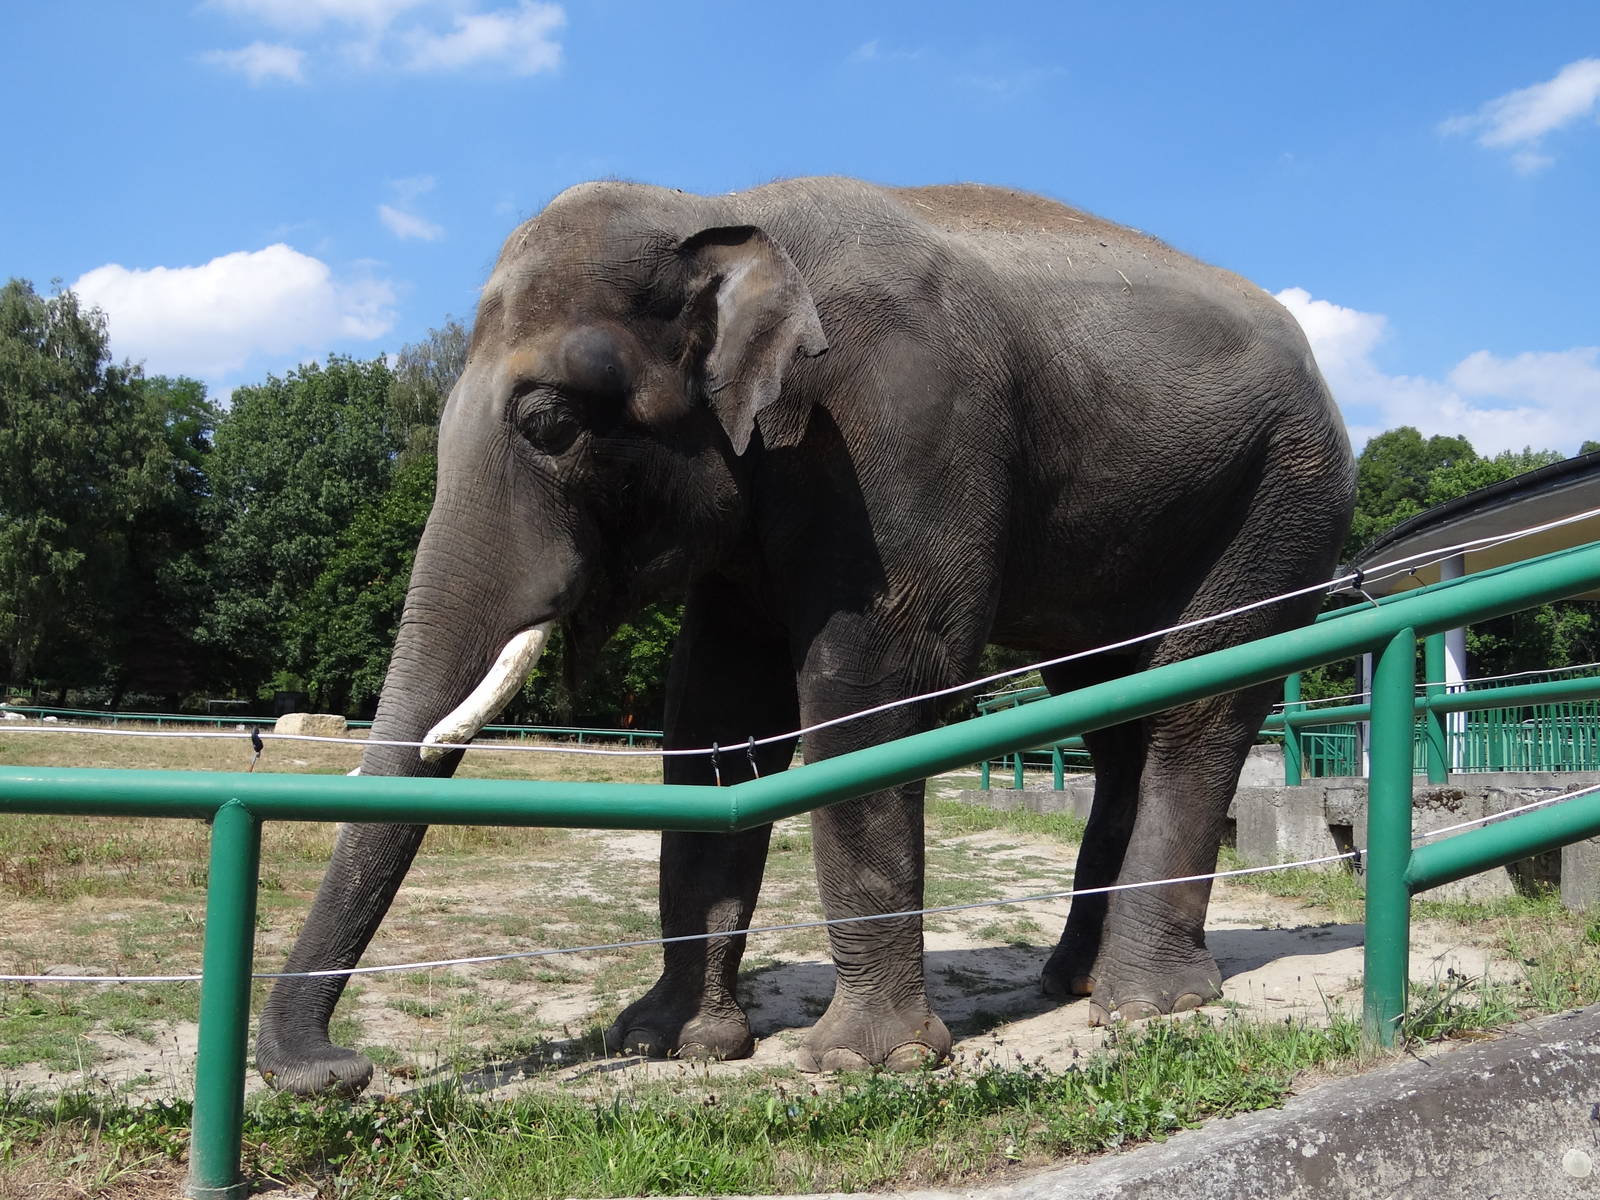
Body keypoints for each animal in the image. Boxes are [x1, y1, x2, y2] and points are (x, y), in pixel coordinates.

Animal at [255, 176, 1355, 1097]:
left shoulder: (894, 431)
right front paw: (668, 1044)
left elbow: (875, 692)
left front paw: (862, 1065)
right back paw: (1072, 984)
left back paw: (1146, 1004)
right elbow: (714, 719)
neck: (719, 211)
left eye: (551, 424)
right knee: (1114, 714)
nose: (341, 1073)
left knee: (1197, 704)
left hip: (1286, 491)